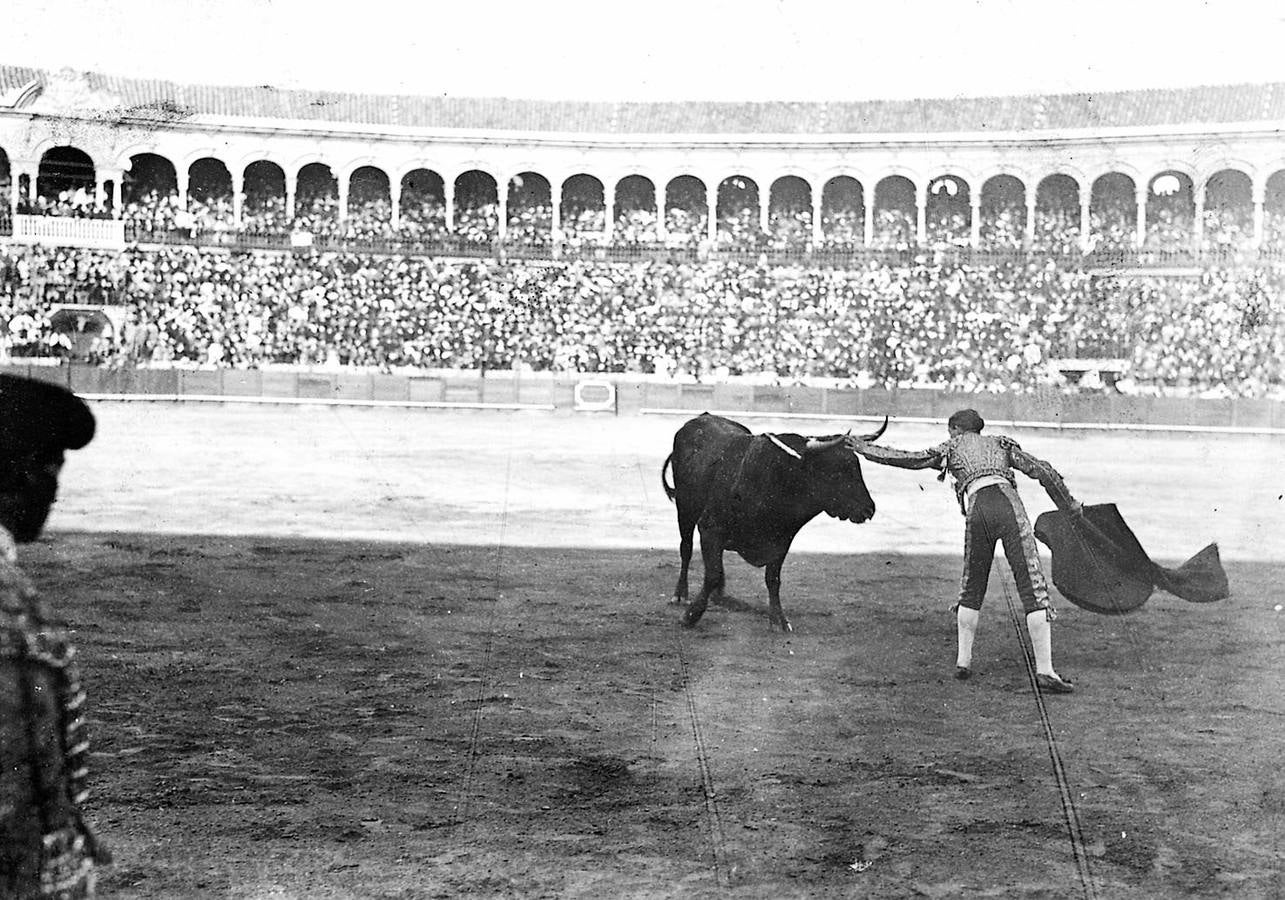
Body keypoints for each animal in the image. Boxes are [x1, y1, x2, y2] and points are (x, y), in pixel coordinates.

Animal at [657, 411, 889, 630]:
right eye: (836, 471)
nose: (869, 509)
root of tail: (699, 419)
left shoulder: (782, 541)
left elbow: (773, 579)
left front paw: (779, 620)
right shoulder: (710, 529)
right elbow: (711, 573)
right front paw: (691, 615)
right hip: (684, 510)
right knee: (686, 548)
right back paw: (680, 595)